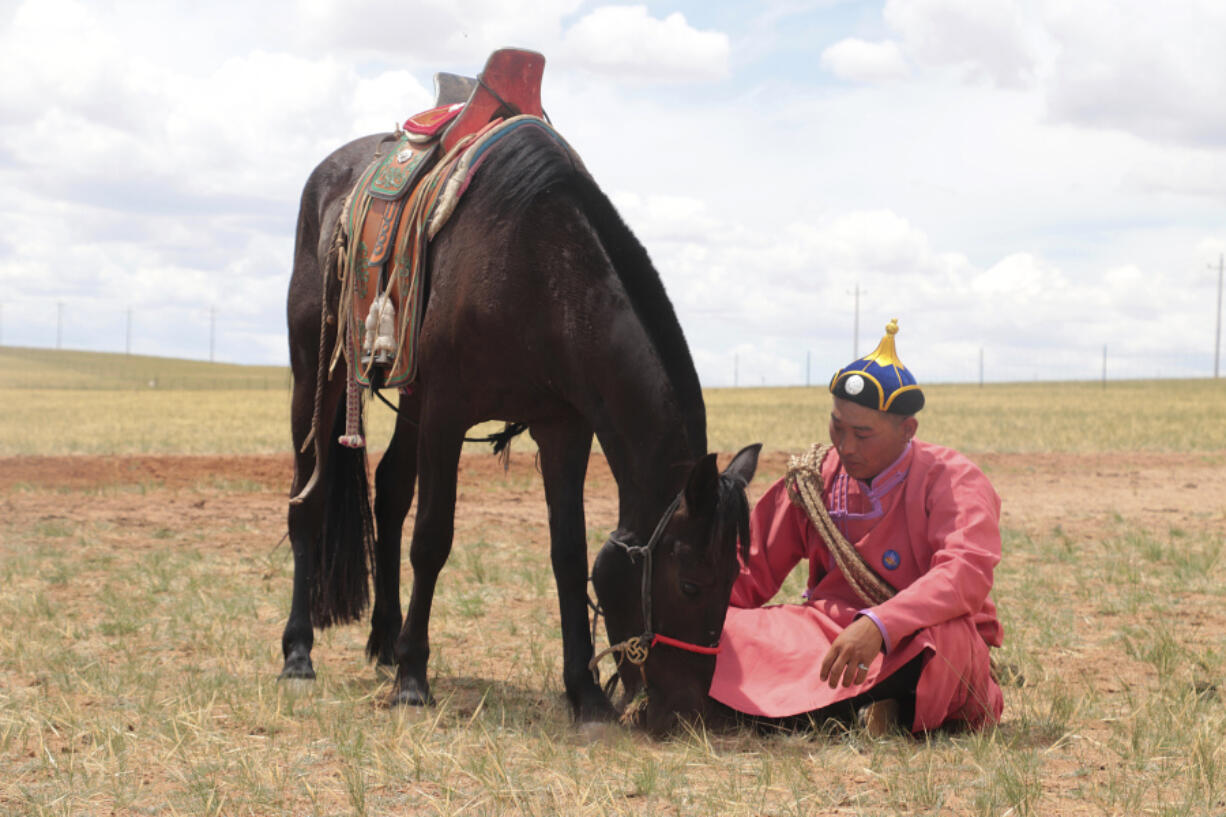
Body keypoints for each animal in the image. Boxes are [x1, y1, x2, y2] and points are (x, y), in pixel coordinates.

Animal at [281, 117, 750, 716]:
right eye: (691, 583)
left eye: (734, 581)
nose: (690, 709)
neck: (540, 271)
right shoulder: (446, 413)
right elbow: (432, 539)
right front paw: (413, 680)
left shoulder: (563, 428)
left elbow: (569, 553)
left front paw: (586, 694)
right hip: (316, 373)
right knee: (308, 501)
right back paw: (299, 653)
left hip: (409, 397)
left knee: (390, 490)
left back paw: (385, 640)